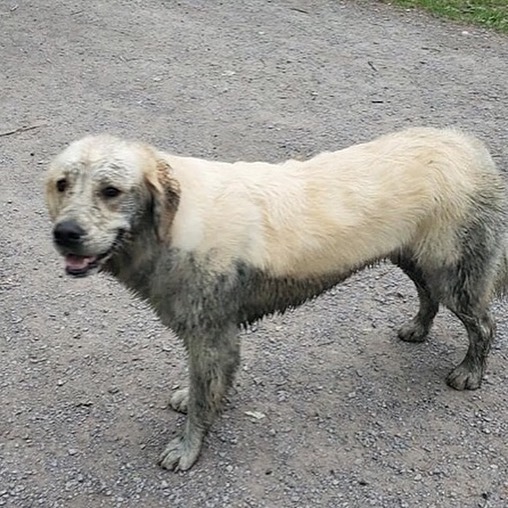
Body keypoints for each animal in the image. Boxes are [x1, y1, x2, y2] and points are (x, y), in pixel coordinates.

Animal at [45, 128, 506, 472]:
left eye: (111, 190)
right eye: (62, 184)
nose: (65, 233)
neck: (172, 224)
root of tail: (470, 146)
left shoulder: (212, 332)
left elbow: (203, 398)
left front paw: (187, 448)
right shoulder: (212, 334)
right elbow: (206, 386)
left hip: (454, 272)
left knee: (484, 324)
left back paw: (469, 372)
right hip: (413, 257)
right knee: (427, 293)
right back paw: (418, 328)